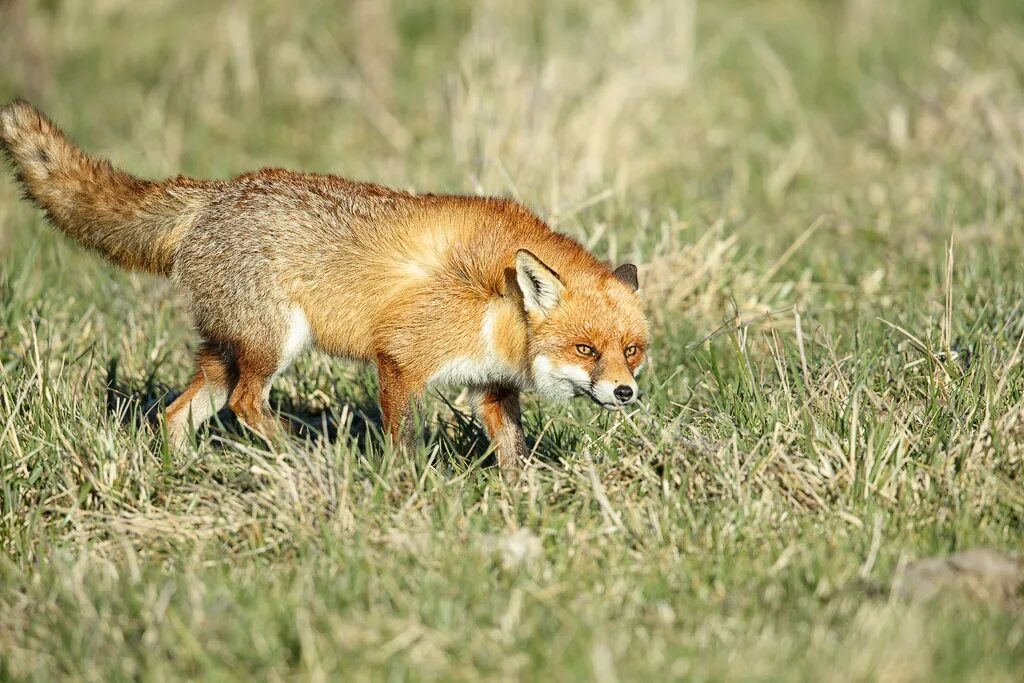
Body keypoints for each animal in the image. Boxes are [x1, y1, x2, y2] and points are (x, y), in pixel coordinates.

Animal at [0, 100, 651, 475]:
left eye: (631, 351)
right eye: (585, 349)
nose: (625, 393)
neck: (499, 307)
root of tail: (217, 193)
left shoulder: (492, 387)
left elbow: (514, 453)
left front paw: (521, 501)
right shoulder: (400, 360)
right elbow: (404, 443)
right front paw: (412, 490)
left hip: (223, 357)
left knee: (178, 414)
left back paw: (186, 473)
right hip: (275, 343)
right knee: (245, 405)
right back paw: (298, 455)